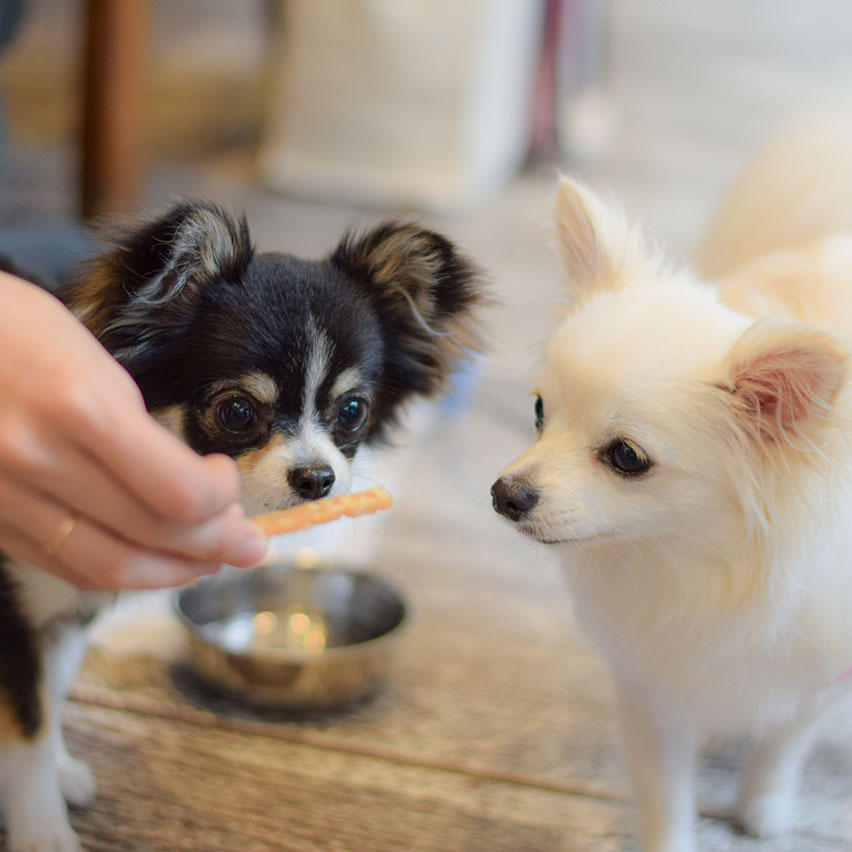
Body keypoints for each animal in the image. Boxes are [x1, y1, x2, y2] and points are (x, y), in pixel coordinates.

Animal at [0, 206, 486, 852]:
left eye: (352, 410)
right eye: (237, 412)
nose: (318, 477)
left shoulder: (69, 606)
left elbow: (48, 697)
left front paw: (56, 771)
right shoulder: (14, 616)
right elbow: (27, 721)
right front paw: (41, 829)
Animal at [492, 115, 852, 852]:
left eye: (627, 457)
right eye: (539, 412)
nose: (505, 493)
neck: (691, 565)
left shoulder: (821, 677)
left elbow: (783, 745)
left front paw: (762, 809)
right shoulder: (648, 686)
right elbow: (665, 794)